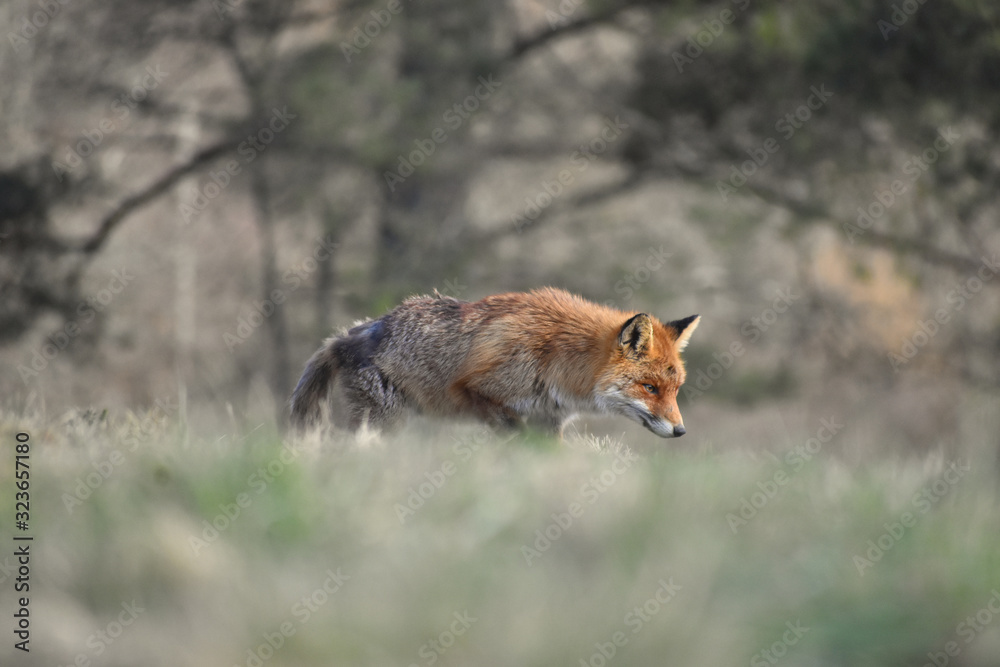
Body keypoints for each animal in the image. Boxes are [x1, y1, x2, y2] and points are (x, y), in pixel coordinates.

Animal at [289, 287, 699, 438]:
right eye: (649, 388)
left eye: (676, 390)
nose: (681, 431)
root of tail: (349, 334)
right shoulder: (476, 391)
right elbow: (511, 433)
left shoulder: (550, 421)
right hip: (388, 422)